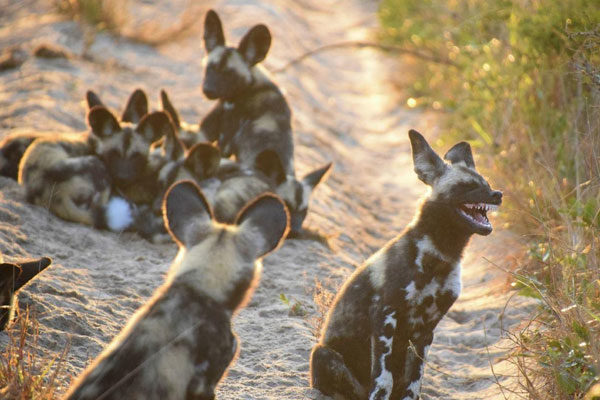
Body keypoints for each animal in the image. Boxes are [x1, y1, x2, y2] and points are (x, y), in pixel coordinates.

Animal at [310, 129, 502, 400]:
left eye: (486, 184)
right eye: (467, 186)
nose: (498, 194)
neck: (441, 256)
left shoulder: (426, 330)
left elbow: (413, 382)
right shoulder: (385, 316)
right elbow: (383, 380)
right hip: (322, 354)